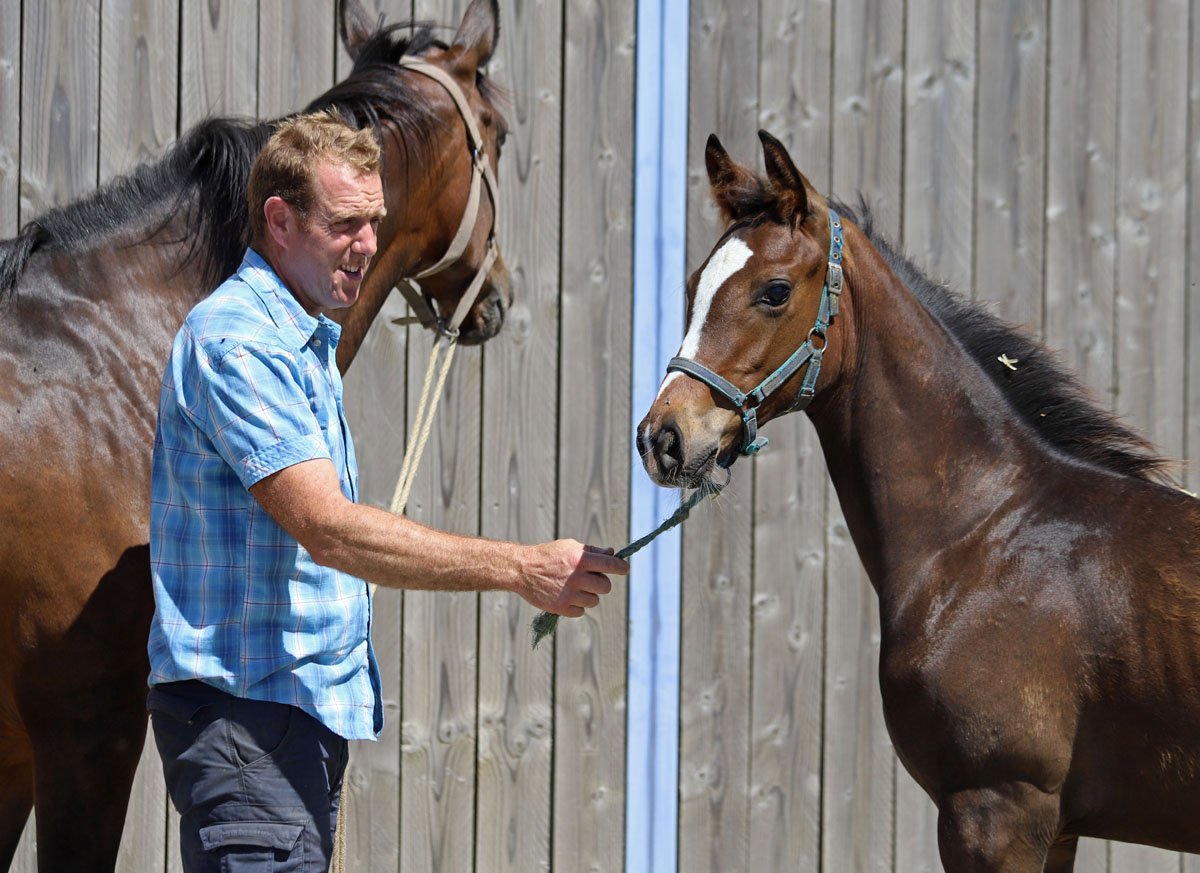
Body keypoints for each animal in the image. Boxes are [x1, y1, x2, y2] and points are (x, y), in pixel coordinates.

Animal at [637, 130, 1200, 872]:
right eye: (694, 286)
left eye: (774, 291)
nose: (663, 439)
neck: (987, 535)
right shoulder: (1055, 828)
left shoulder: (997, 812)